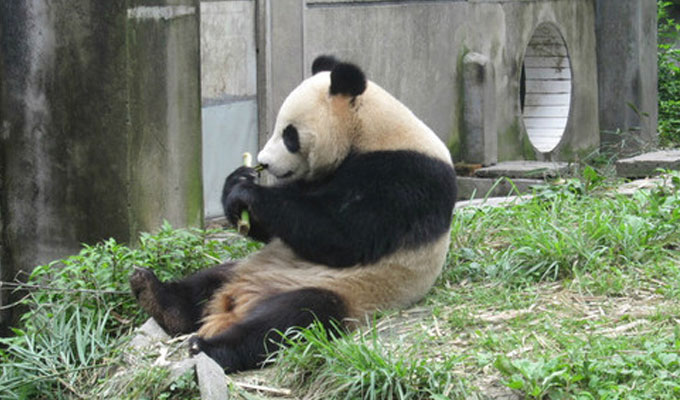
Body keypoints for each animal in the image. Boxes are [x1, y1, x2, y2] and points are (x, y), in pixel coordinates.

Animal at [129, 55, 456, 372]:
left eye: (289, 135)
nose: (263, 161)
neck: (373, 131)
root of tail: (237, 301)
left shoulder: (406, 177)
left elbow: (346, 236)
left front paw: (247, 193)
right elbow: (284, 226)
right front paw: (237, 184)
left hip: (348, 290)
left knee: (288, 320)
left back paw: (209, 346)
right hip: (246, 267)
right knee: (205, 283)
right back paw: (155, 294)